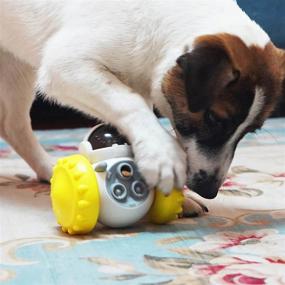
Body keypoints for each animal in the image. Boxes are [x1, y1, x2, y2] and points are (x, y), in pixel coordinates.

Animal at [0, 0, 282, 209]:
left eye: (250, 131)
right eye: (214, 119)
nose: (209, 191)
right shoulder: (66, 66)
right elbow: (131, 103)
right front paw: (163, 153)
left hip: (16, 63)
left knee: (13, 125)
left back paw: (49, 168)